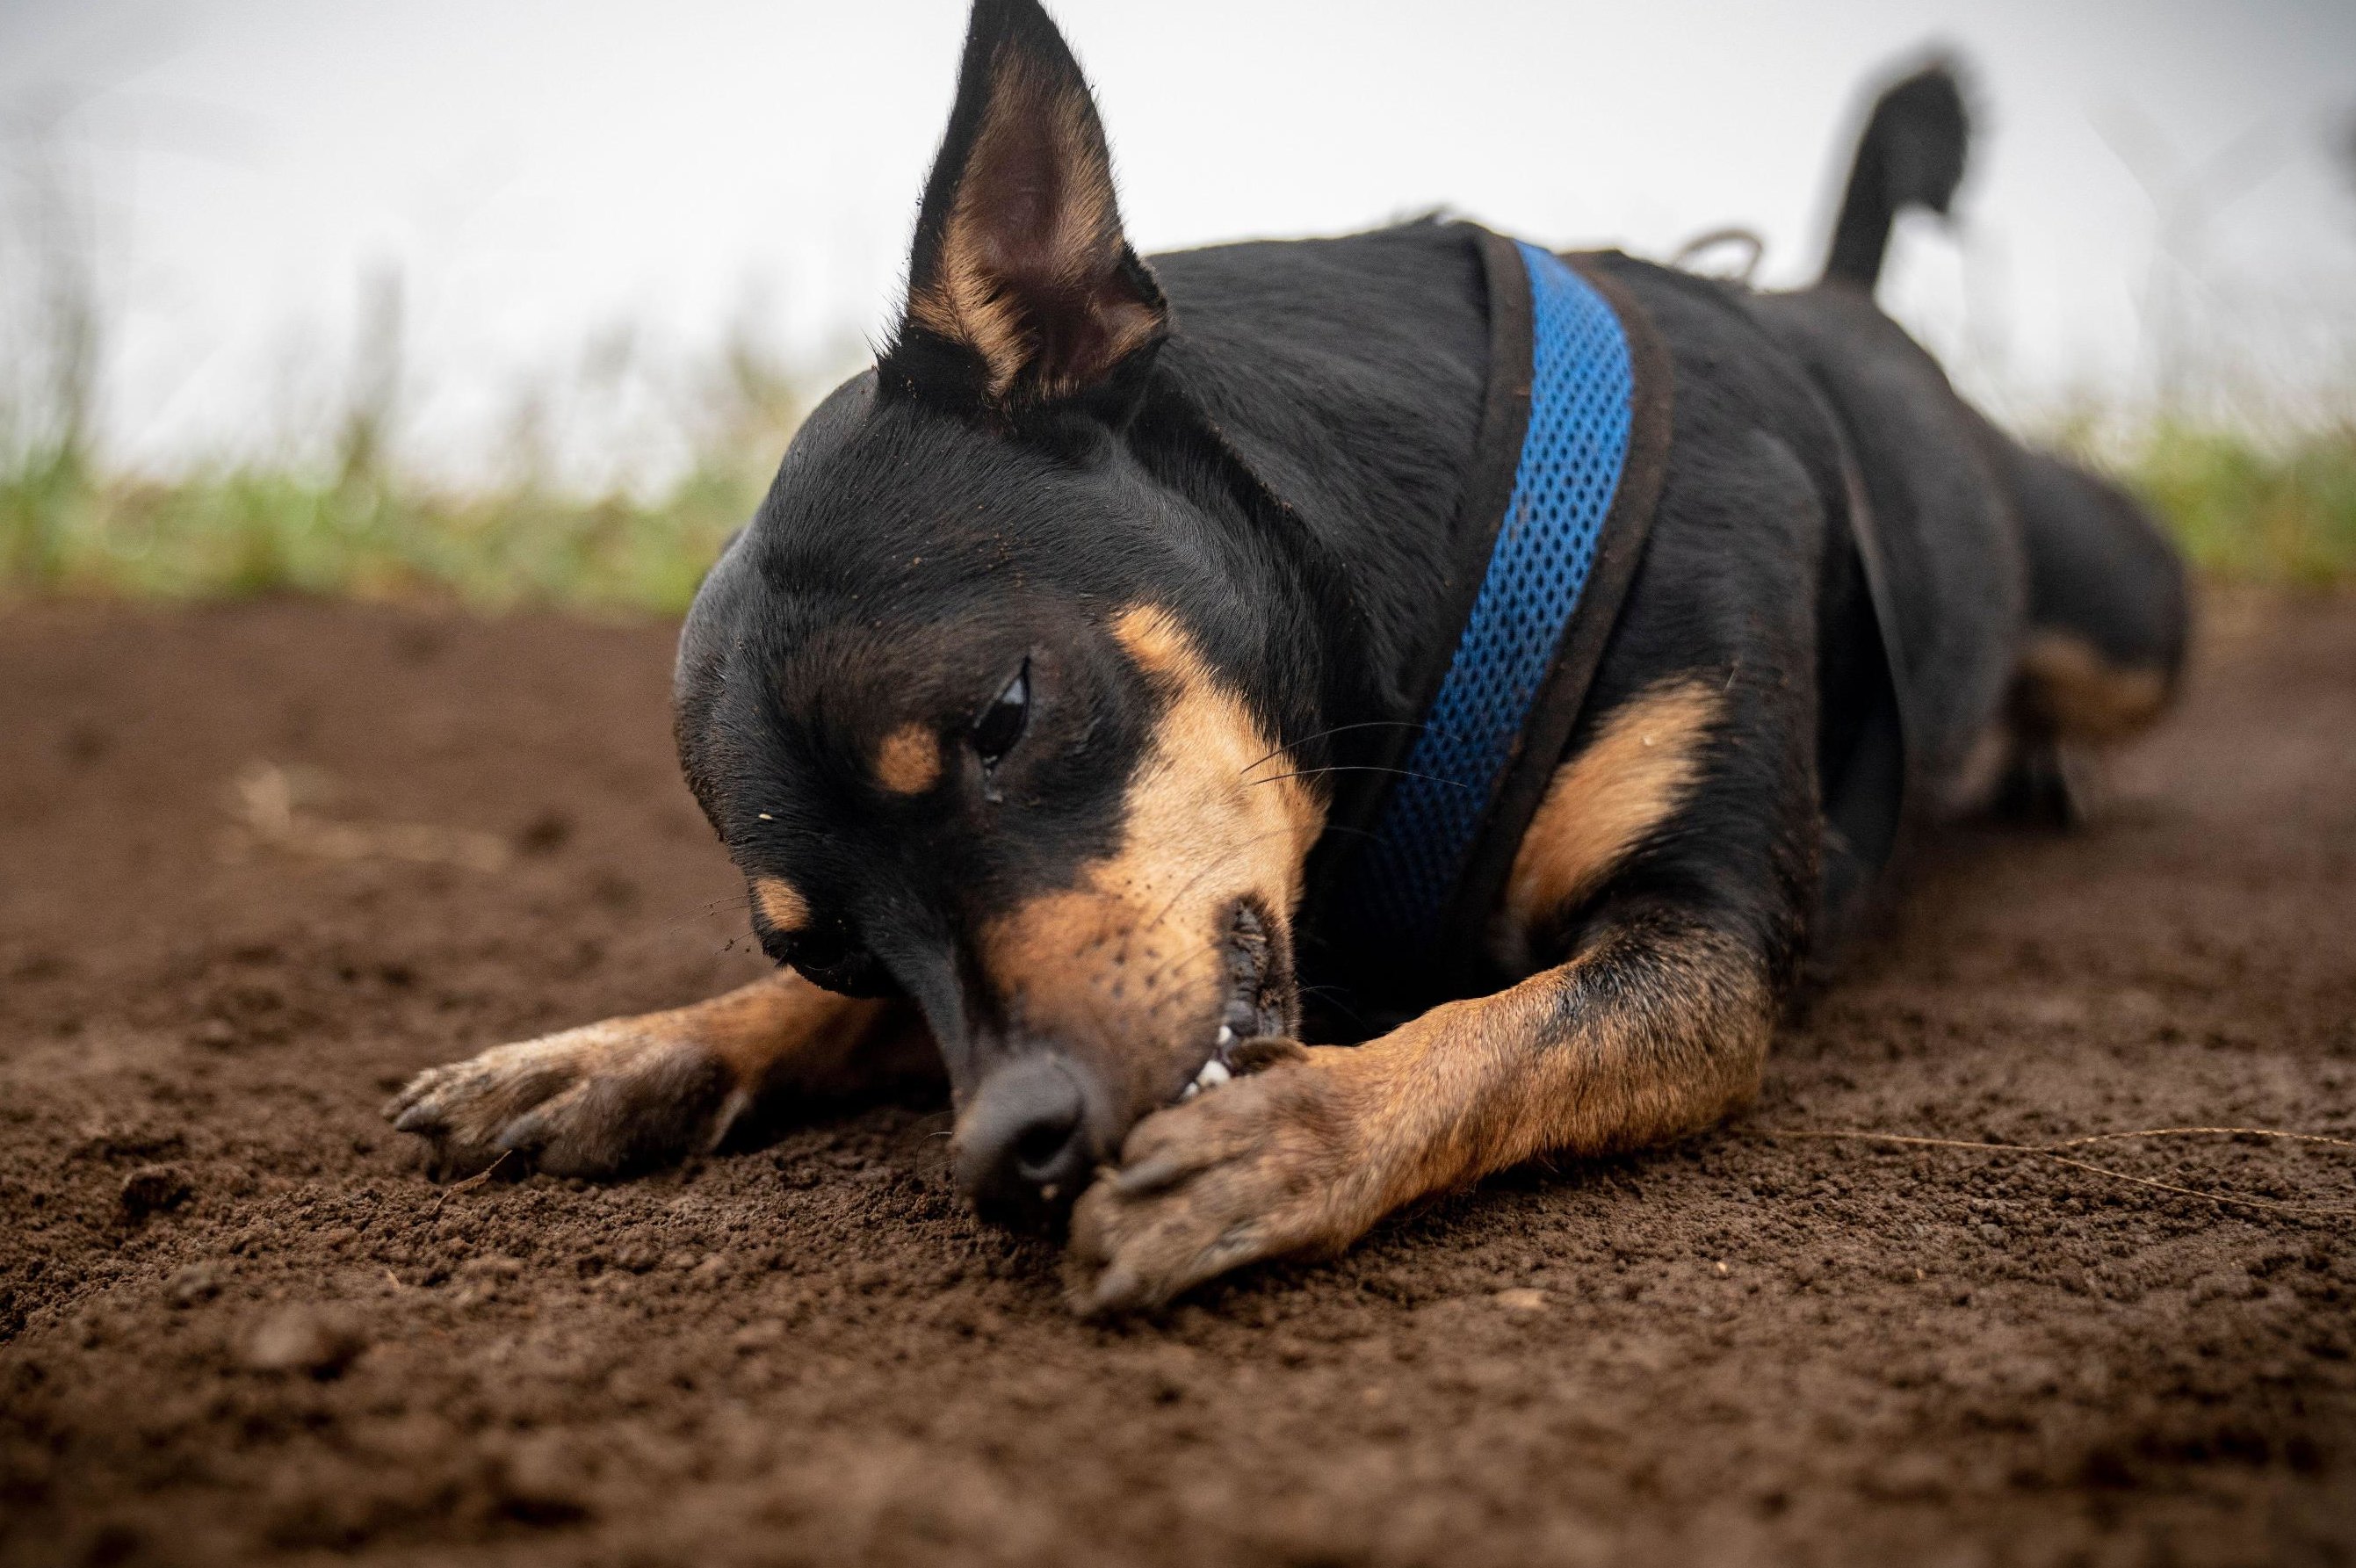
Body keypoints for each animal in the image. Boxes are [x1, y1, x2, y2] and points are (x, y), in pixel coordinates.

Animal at [386, 3, 2186, 1309]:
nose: (1009, 1146)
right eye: (827, 951)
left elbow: (1484, 1037)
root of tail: (1830, 299)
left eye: (1005, 714)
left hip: (2126, 617)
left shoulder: (1702, 947)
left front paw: (1289, 1134)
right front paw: (628, 1046)